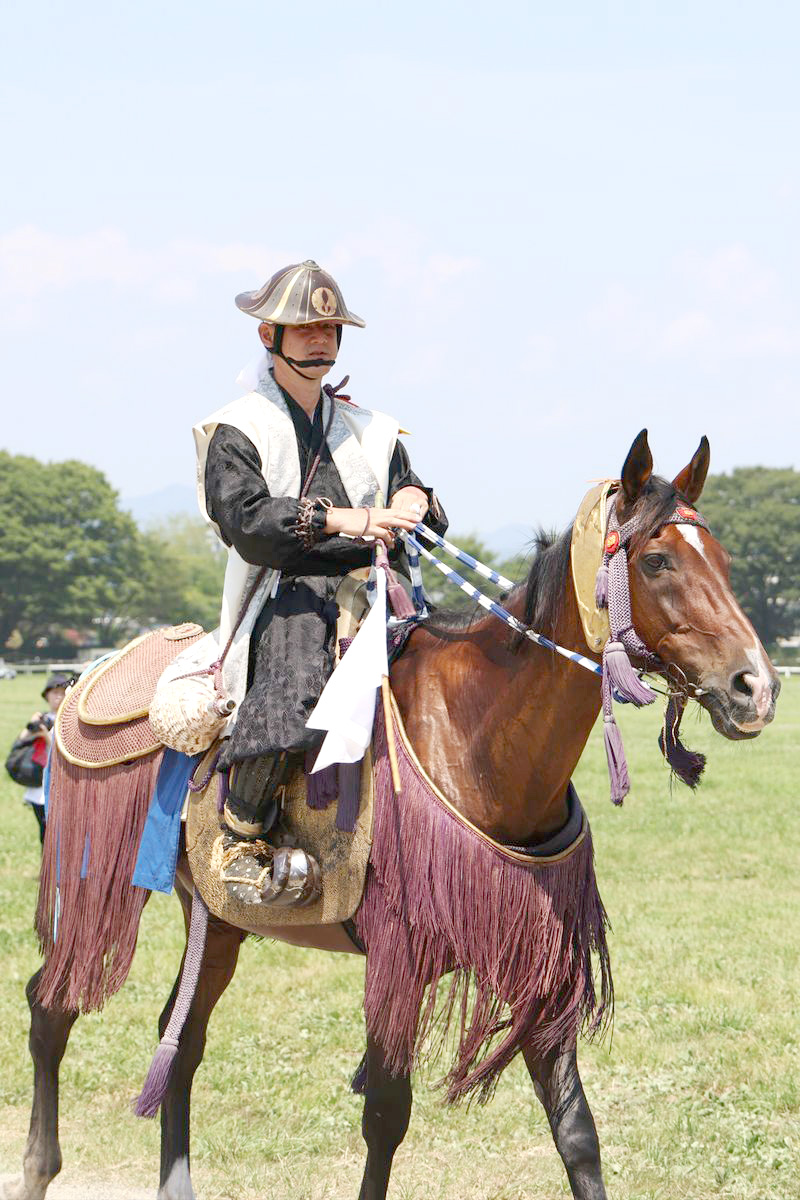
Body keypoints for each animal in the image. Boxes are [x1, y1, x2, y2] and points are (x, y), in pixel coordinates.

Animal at [4, 434, 782, 1200]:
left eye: (724, 561)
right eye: (656, 561)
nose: (757, 687)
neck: (475, 736)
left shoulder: (535, 952)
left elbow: (575, 1129)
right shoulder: (399, 955)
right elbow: (385, 1114)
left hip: (216, 917)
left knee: (181, 1037)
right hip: (95, 882)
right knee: (51, 1004)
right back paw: (38, 1167)